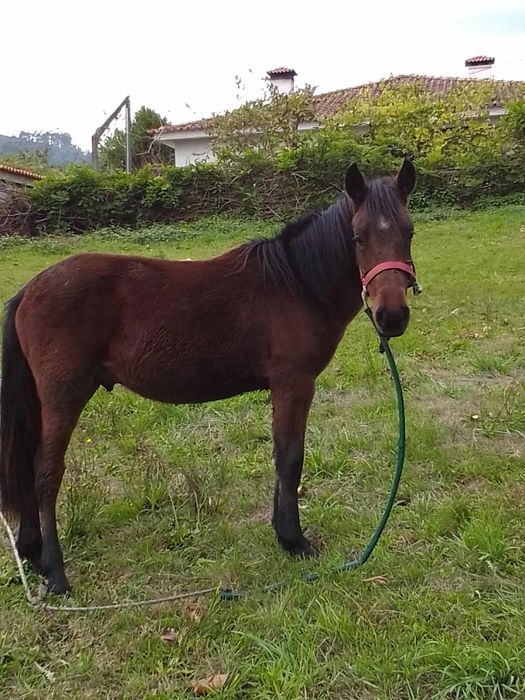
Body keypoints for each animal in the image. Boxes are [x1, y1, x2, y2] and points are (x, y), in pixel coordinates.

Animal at [0, 161, 418, 595]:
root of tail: (29, 290)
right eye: (358, 237)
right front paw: (294, 539)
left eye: (409, 232)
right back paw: (55, 572)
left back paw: (32, 552)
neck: (296, 283)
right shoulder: (294, 383)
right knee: (45, 472)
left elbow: (279, 456)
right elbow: (290, 458)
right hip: (64, 395)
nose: (391, 316)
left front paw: (281, 532)